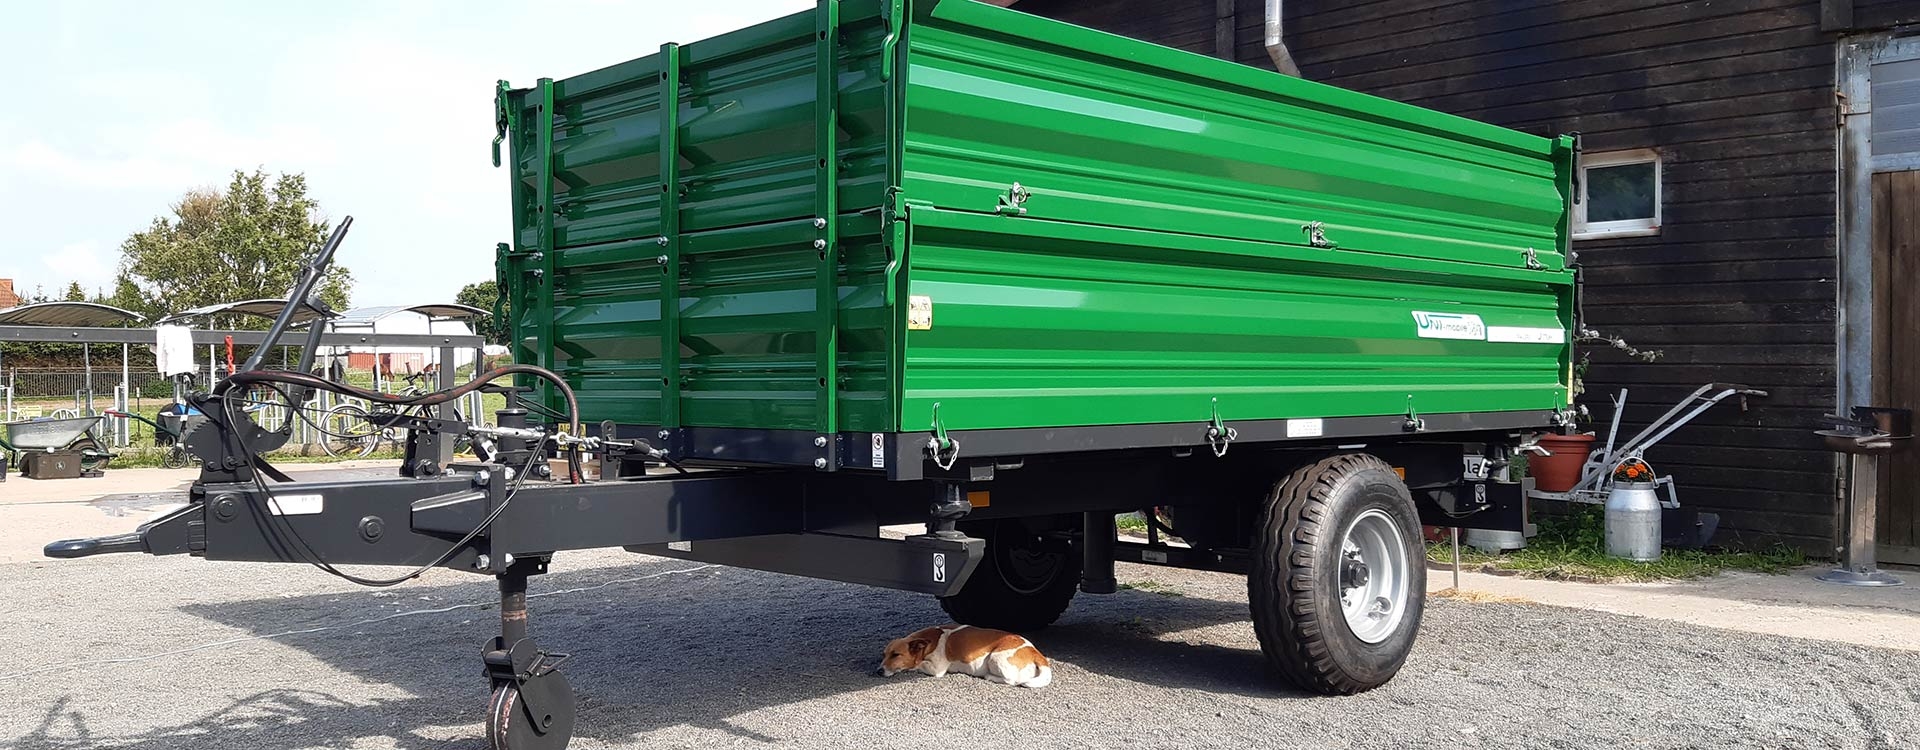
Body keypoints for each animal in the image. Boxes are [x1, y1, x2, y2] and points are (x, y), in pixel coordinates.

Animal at [879, 625, 1059, 690]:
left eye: (896, 655)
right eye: (884, 654)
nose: (878, 671)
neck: (932, 639)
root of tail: (1035, 653)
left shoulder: (936, 668)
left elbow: (917, 665)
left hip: (995, 658)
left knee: (1011, 680)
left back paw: (989, 676)